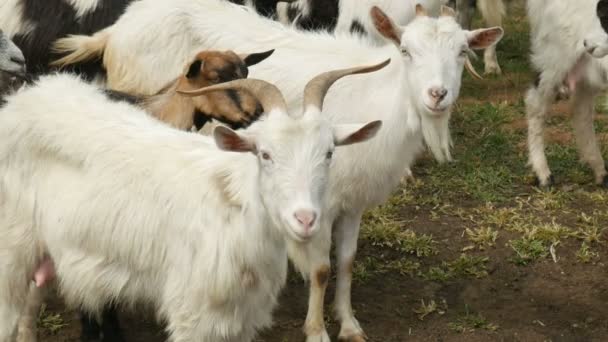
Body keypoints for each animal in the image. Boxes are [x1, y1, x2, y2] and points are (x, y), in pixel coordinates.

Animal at [48, 2, 504, 340]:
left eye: (462, 52)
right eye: (406, 51)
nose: (437, 95)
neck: (380, 96)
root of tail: (114, 32)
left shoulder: (352, 200)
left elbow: (347, 262)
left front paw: (350, 324)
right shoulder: (317, 203)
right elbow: (321, 269)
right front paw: (317, 330)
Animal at [524, 0, 604, 187]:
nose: (588, 43)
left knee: (581, 111)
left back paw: (600, 170)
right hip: (555, 59)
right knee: (535, 105)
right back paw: (543, 174)